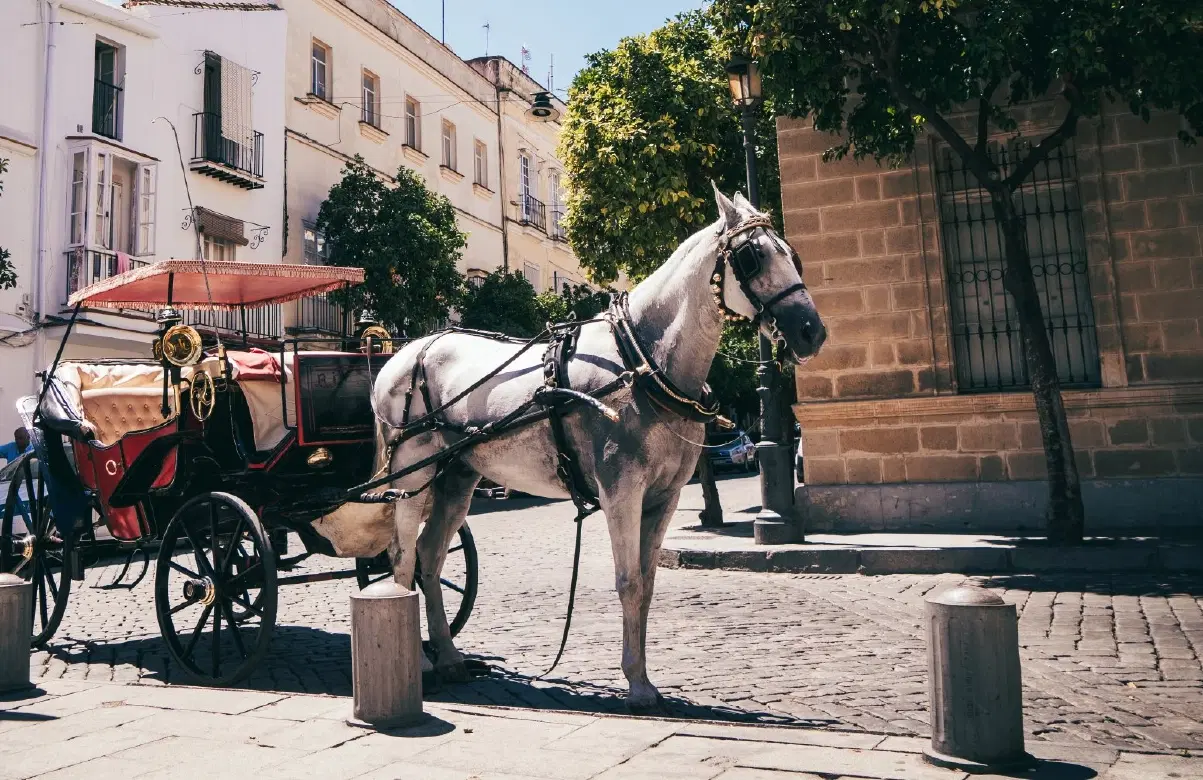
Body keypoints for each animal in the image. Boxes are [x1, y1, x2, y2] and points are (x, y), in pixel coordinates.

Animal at [311, 186, 826, 709]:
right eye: (753, 256)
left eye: (791, 255)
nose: (812, 331)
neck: (642, 362)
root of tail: (402, 353)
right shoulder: (621, 491)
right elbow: (629, 581)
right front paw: (637, 684)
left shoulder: (664, 497)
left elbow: (648, 583)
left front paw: (643, 676)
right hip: (412, 474)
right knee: (402, 558)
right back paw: (419, 658)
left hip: (456, 476)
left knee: (431, 558)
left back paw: (450, 656)